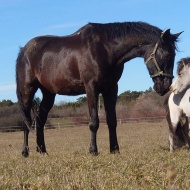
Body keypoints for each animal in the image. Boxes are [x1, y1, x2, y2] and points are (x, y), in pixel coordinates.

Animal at [15, 21, 182, 157]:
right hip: (27, 90)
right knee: (25, 121)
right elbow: (94, 121)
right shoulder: (91, 88)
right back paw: (25, 152)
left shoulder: (111, 88)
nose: (164, 86)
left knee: (40, 120)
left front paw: (114, 149)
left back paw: (42, 150)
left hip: (49, 93)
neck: (105, 48)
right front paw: (93, 150)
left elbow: (112, 120)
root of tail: (23, 51)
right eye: (167, 54)